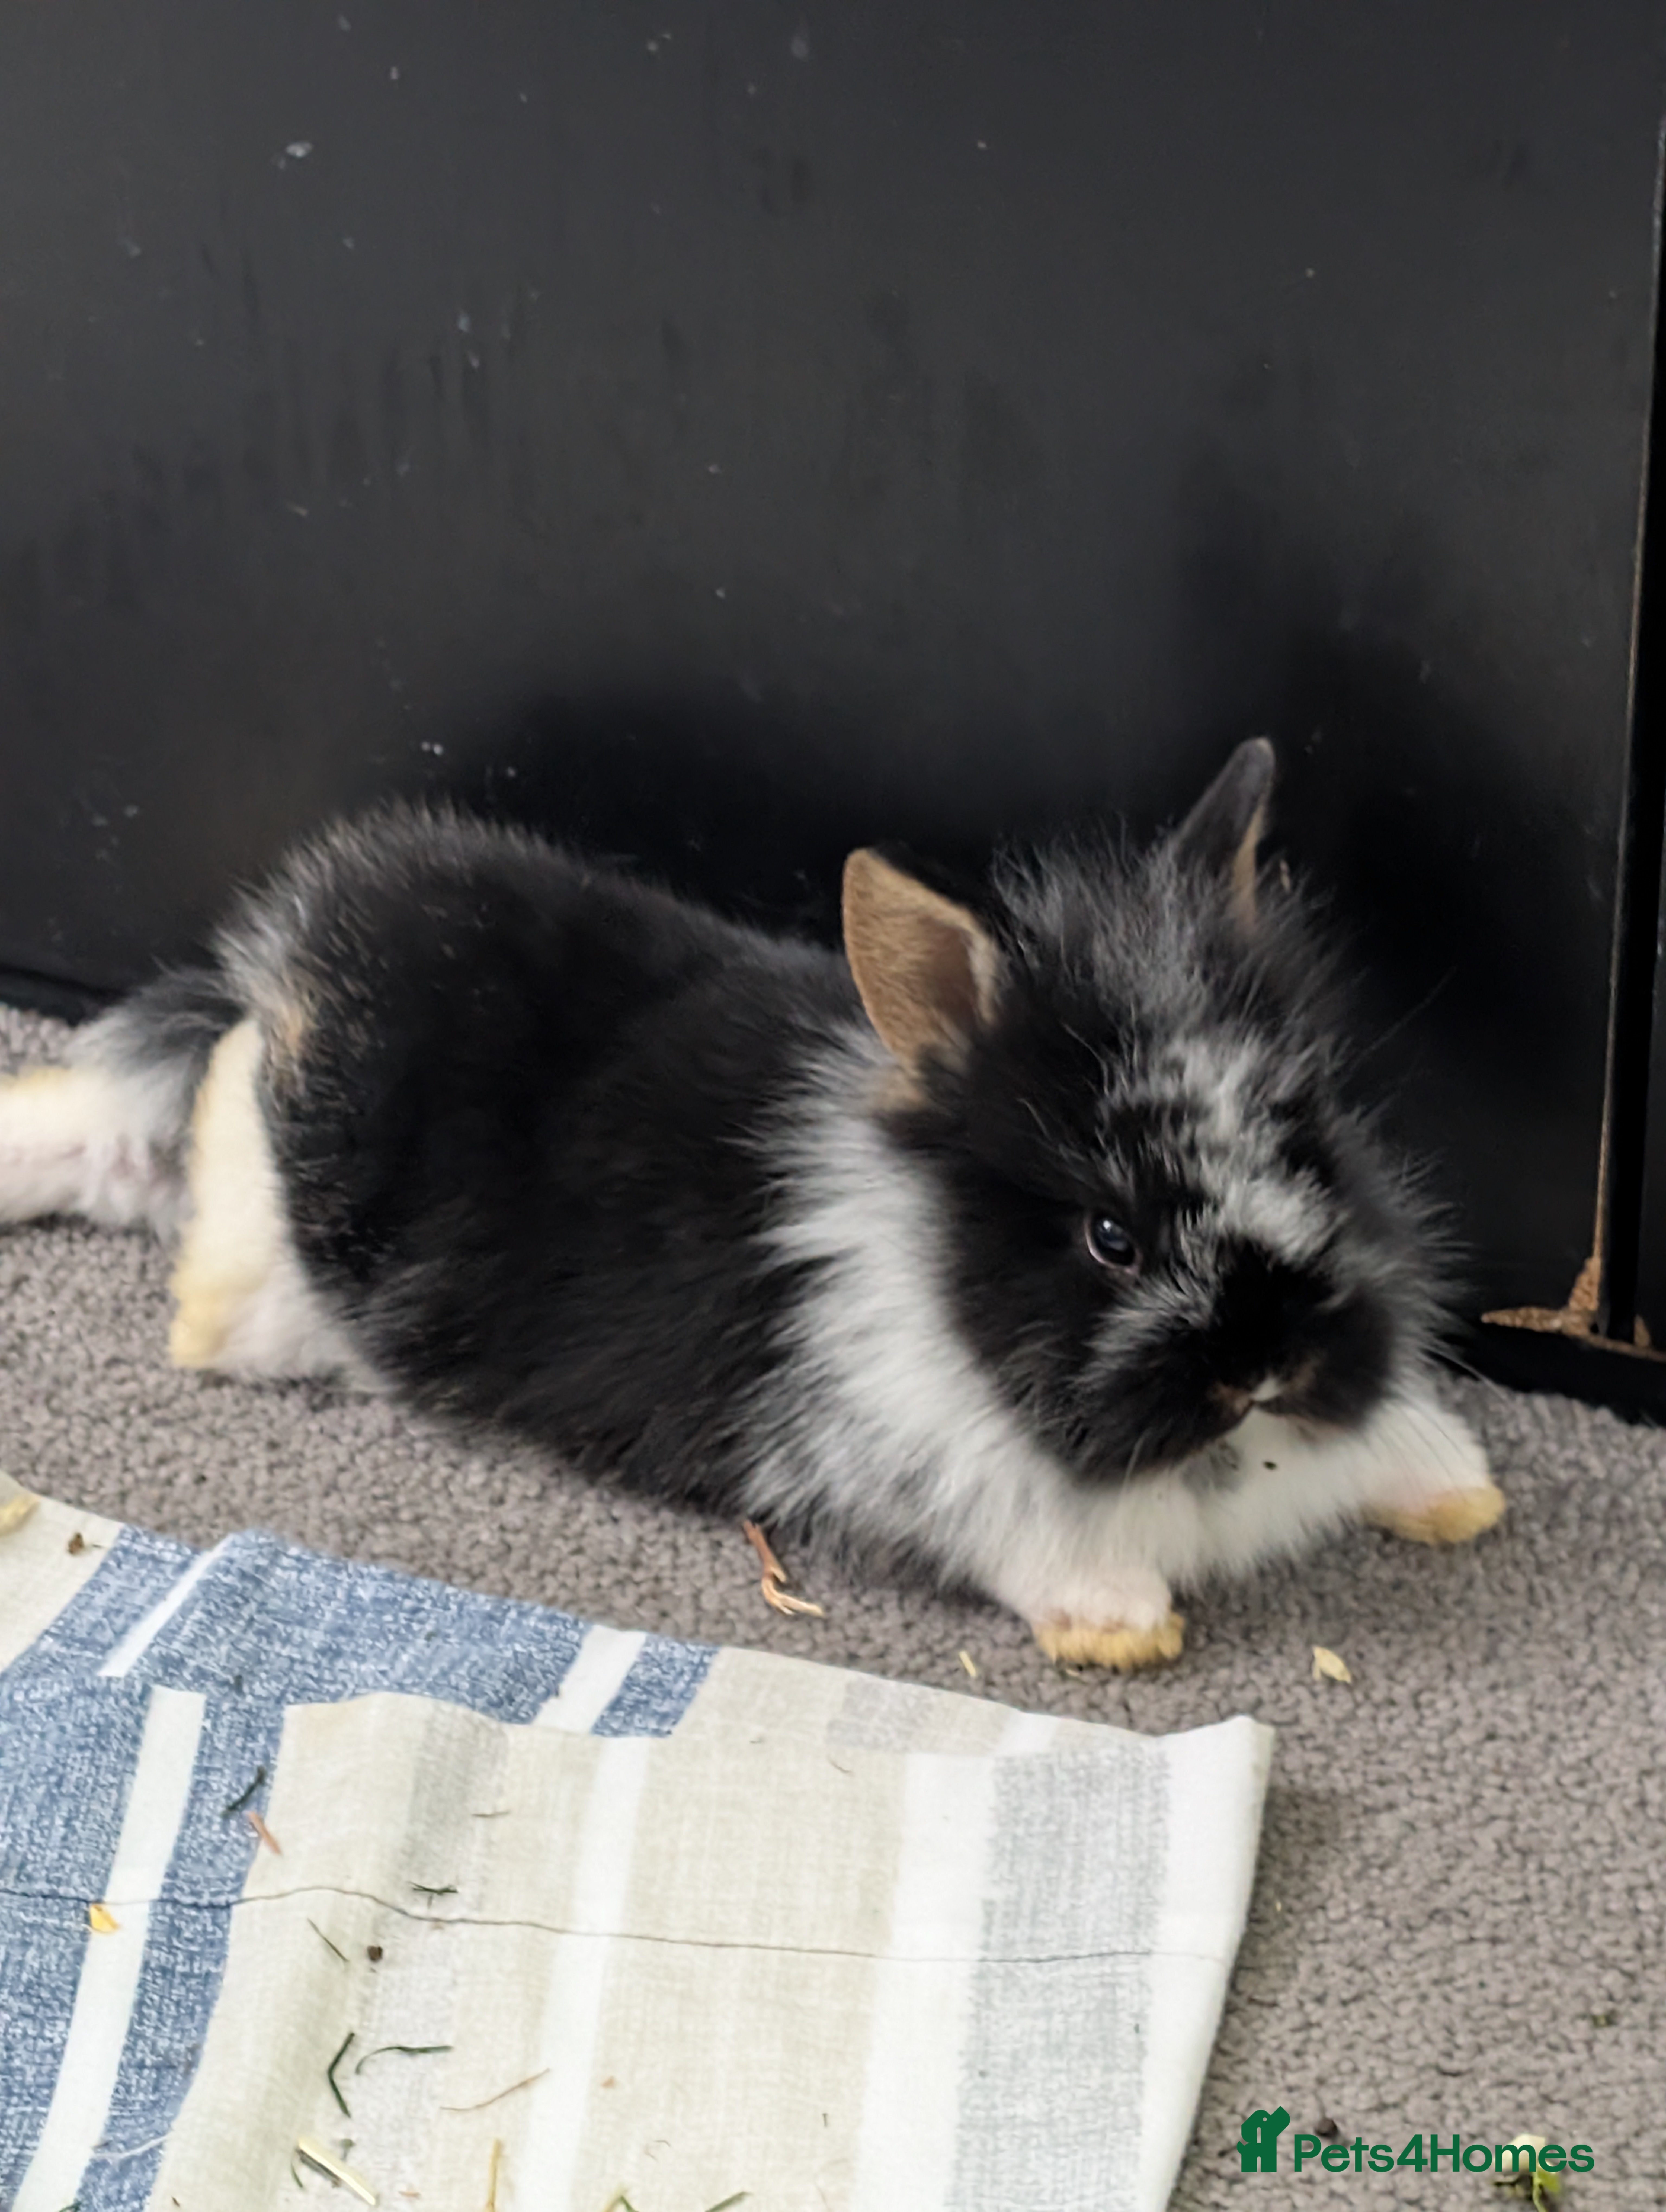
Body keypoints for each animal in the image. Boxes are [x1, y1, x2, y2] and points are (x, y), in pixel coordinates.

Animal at [0, 738, 1503, 1667]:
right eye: (1109, 1237)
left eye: (1310, 1151)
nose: (1265, 1365)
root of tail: (286, 972)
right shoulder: (931, 1471)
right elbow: (1039, 1542)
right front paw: (1120, 1626)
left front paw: (1455, 1492)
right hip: (284, 1264)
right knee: (208, 1186)